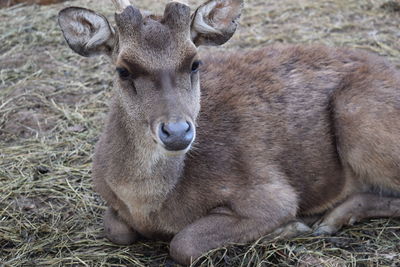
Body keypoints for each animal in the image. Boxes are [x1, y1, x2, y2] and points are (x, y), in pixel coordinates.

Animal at [57, 0, 400, 266]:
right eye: (123, 69)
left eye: (195, 63)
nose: (177, 131)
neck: (147, 205)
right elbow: (115, 230)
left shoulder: (271, 194)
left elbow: (184, 243)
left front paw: (289, 227)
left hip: (359, 120)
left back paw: (327, 220)